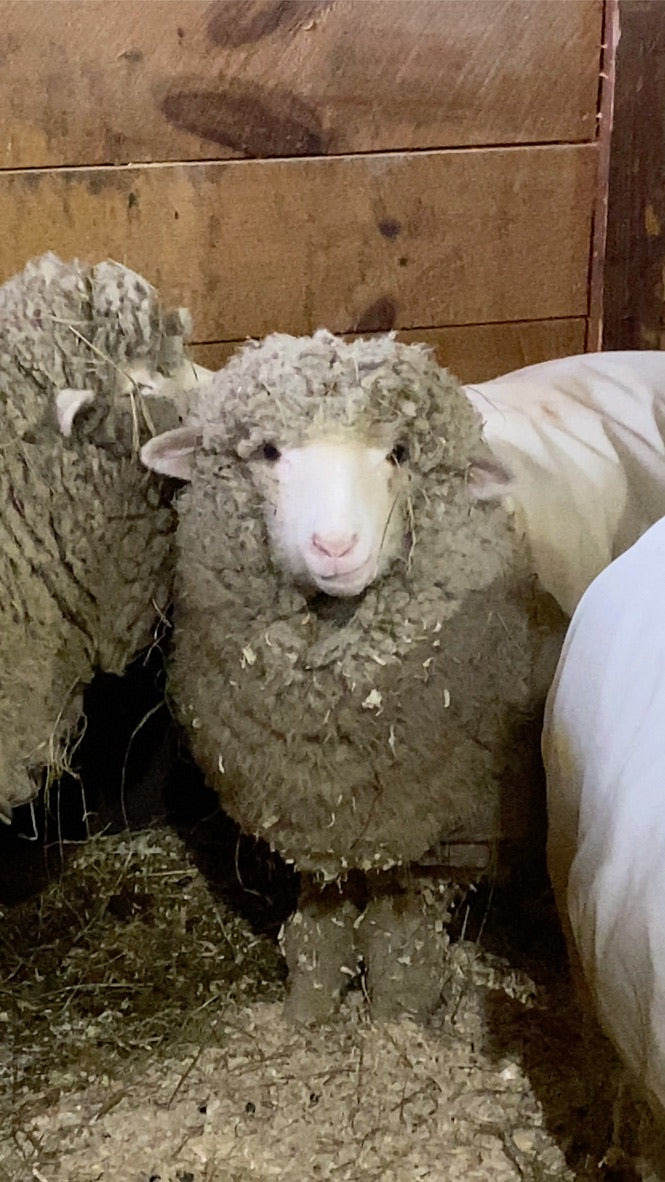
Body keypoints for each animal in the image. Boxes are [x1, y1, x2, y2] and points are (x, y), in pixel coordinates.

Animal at [141, 329, 565, 1023]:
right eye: (267, 450)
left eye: (399, 453)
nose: (335, 548)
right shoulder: (316, 816)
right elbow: (321, 930)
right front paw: (307, 1015)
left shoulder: (439, 833)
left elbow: (402, 946)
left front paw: (400, 1022)